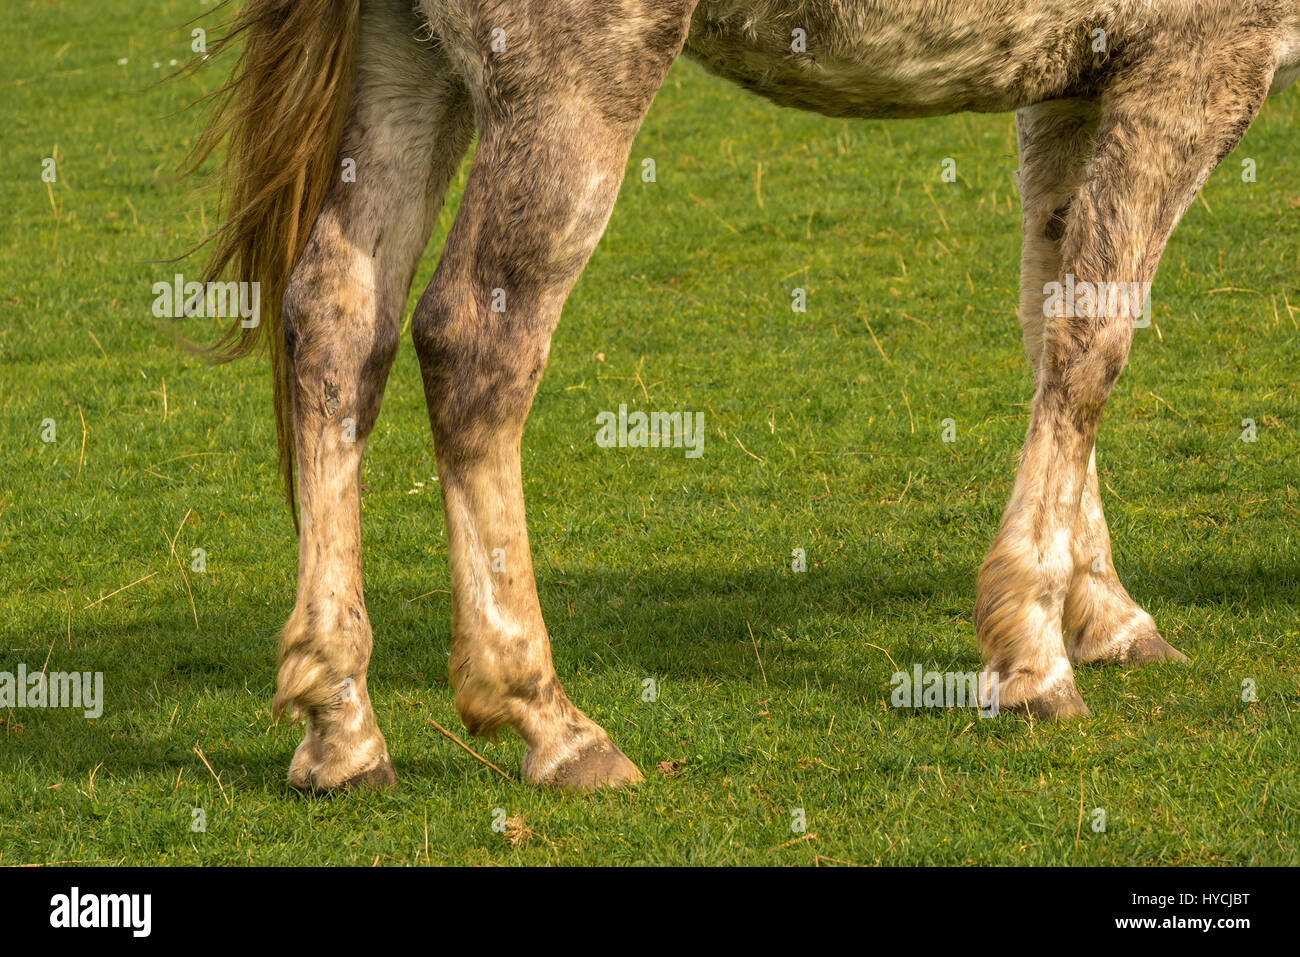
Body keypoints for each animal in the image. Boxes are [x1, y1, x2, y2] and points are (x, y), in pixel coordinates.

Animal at [189, 0, 1300, 790]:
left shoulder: (1075, 78)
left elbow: (1052, 317)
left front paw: (1102, 613)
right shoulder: (1199, 60)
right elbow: (1091, 346)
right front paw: (1033, 650)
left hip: (405, 63)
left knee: (337, 322)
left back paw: (341, 728)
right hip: (569, 80)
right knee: (474, 344)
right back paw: (548, 718)